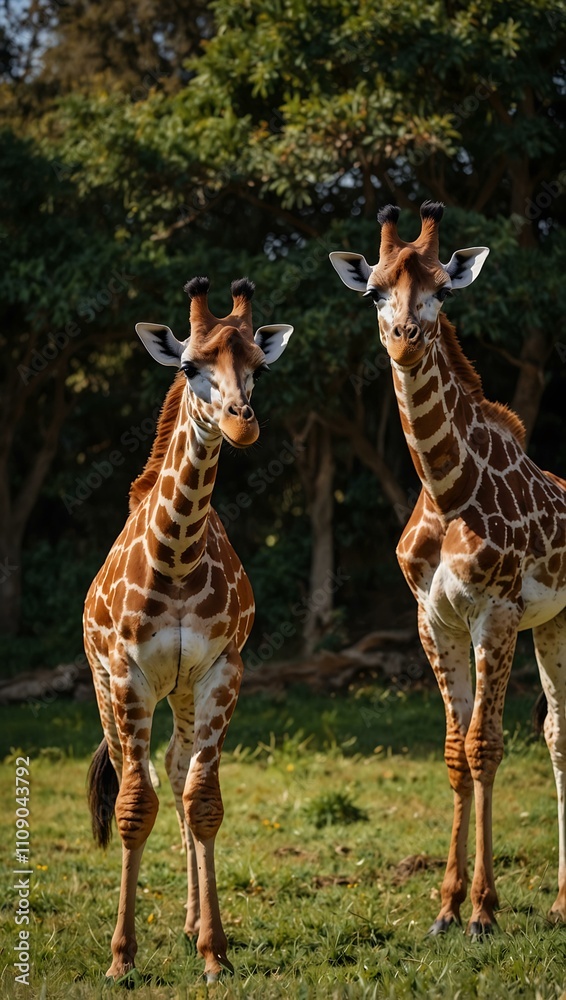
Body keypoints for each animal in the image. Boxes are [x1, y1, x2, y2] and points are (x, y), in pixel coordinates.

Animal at [83, 275, 293, 981]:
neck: (176, 556)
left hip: (181, 692)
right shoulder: (127, 675)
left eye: (258, 367)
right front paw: (120, 959)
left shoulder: (222, 670)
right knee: (143, 776)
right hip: (108, 691)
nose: (239, 421)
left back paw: (191, 923)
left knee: (177, 772)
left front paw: (215, 952)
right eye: (188, 366)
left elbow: (204, 801)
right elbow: (132, 806)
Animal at [330, 202, 566, 935]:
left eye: (444, 289)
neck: (445, 491)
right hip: (553, 624)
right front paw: (446, 906)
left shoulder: (497, 613)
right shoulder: (434, 620)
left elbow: (486, 745)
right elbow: (456, 752)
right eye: (374, 291)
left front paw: (485, 910)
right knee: (558, 734)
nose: (405, 338)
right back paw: (559, 900)